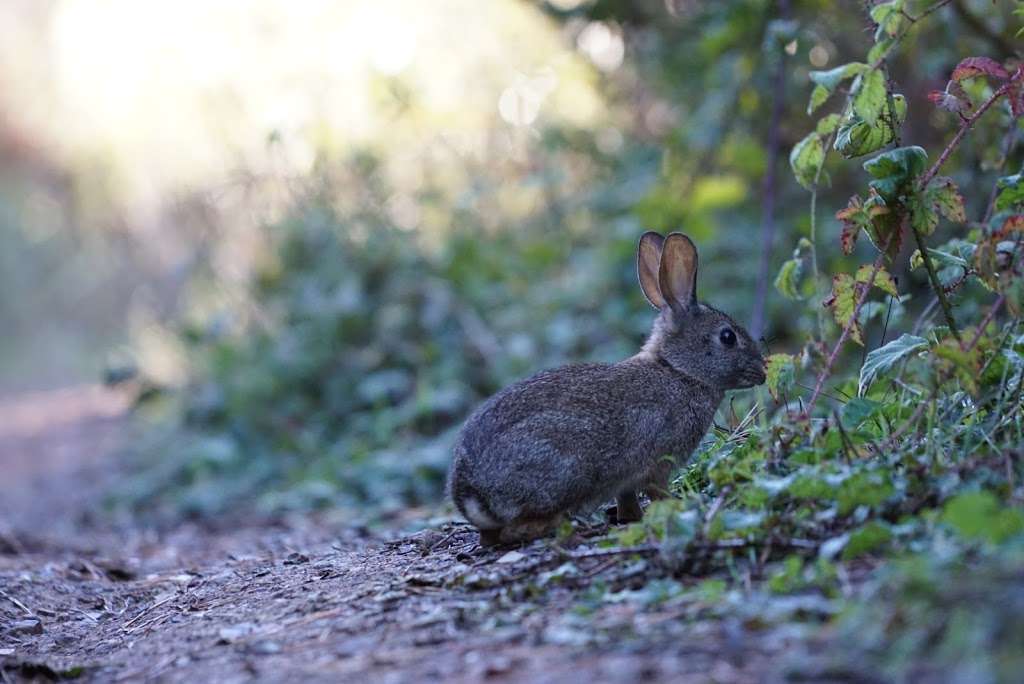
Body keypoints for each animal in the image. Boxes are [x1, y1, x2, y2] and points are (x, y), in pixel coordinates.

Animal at [444, 231, 765, 544]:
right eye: (727, 337)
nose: (762, 372)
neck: (678, 370)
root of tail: (472, 491)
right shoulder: (657, 461)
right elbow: (657, 492)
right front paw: (678, 506)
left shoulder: (627, 481)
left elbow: (628, 500)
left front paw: (629, 518)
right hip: (565, 471)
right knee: (518, 529)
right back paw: (574, 528)